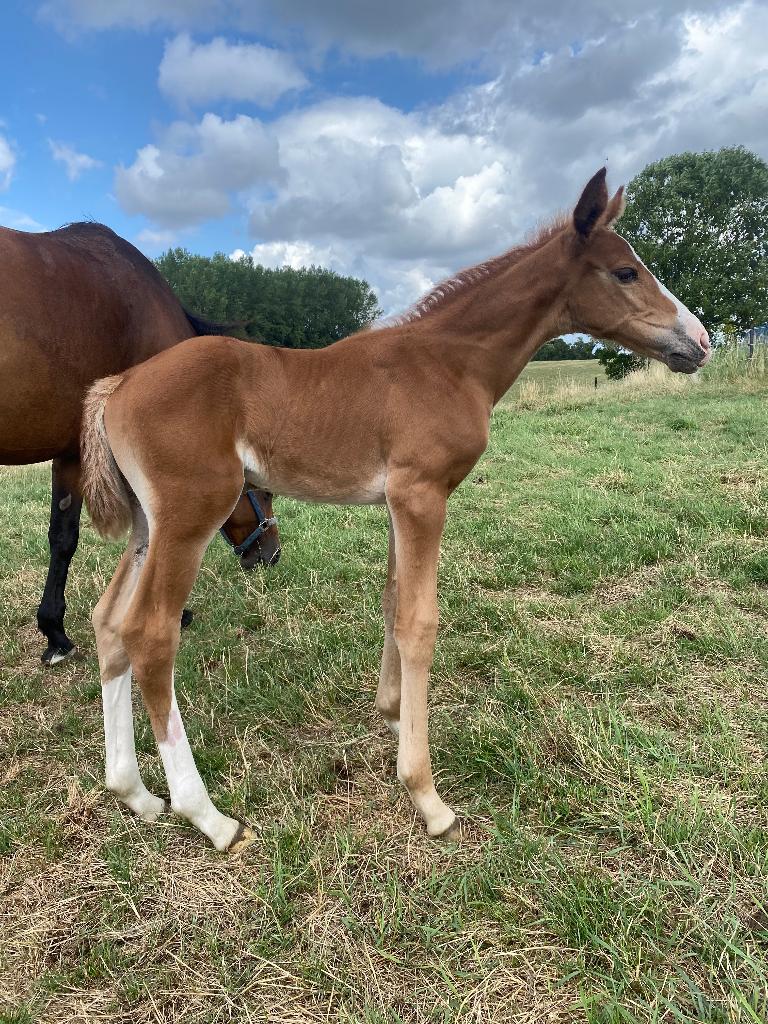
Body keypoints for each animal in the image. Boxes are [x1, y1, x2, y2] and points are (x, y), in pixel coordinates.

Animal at [80, 169, 710, 852]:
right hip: (189, 517)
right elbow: (420, 622)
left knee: (109, 623)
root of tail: (116, 385)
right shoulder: (422, 494)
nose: (701, 341)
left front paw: (390, 714)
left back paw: (135, 793)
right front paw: (426, 794)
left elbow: (390, 599)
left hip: (148, 525)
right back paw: (208, 816)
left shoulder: (396, 501)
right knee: (150, 633)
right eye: (625, 272)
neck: (449, 361)